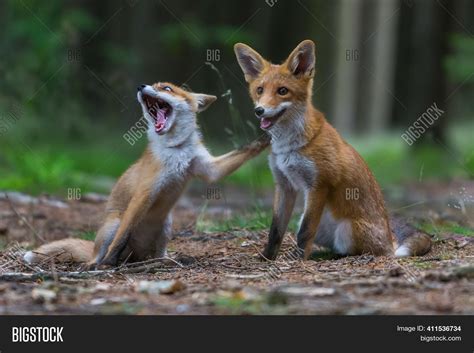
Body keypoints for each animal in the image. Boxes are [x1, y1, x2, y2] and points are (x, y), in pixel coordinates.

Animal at [25, 80, 270, 266]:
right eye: (154, 84)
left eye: (167, 88)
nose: (141, 86)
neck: (176, 149)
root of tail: (137, 257)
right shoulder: (145, 192)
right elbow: (123, 235)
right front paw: (109, 260)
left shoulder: (207, 167)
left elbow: (243, 151)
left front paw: (264, 139)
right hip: (114, 223)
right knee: (102, 251)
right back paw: (100, 263)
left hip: (167, 225)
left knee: (157, 255)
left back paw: (164, 261)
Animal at [233, 40, 430, 258]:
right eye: (260, 90)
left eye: (282, 91)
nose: (259, 111)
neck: (288, 146)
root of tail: (391, 241)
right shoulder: (284, 185)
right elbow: (275, 230)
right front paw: (267, 258)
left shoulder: (319, 185)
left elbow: (305, 232)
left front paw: (298, 259)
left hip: (348, 231)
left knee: (357, 251)